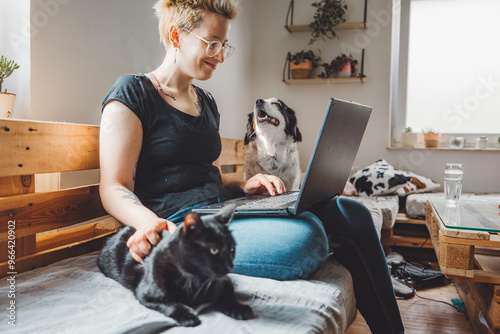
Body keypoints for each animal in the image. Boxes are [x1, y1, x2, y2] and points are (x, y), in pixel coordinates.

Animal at [96, 204, 254, 326]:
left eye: (232, 249)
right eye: (214, 250)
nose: (230, 266)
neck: (194, 280)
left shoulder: (224, 281)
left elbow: (228, 295)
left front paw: (239, 309)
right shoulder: (145, 294)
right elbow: (170, 304)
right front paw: (188, 317)